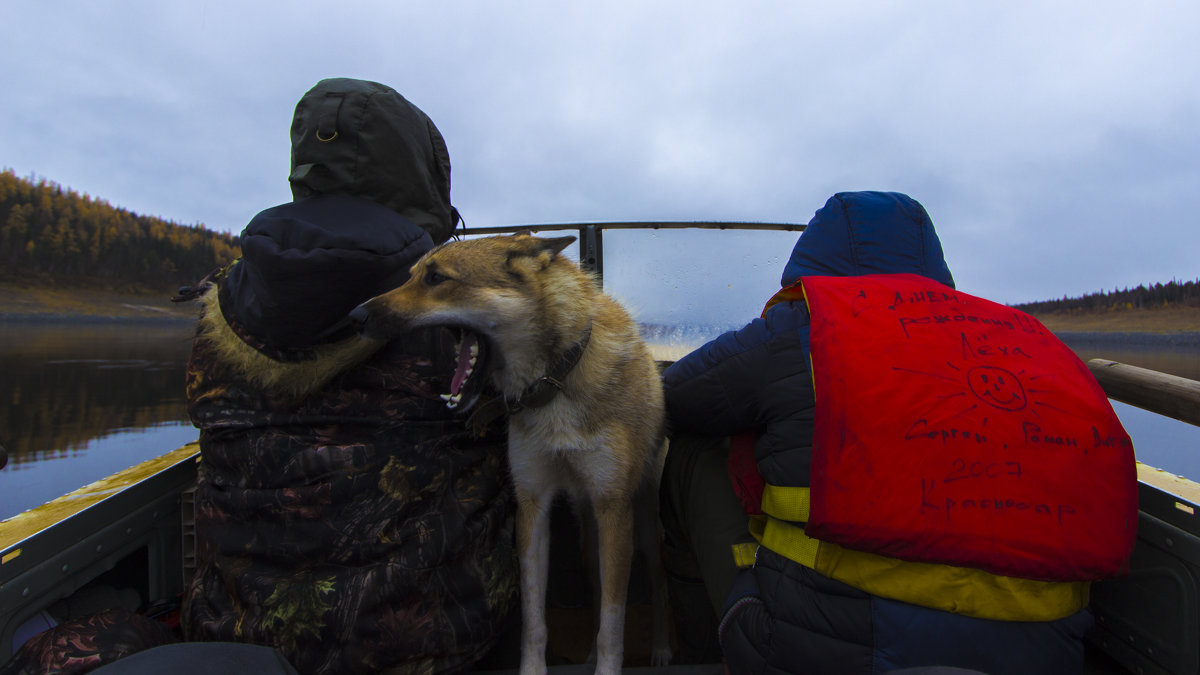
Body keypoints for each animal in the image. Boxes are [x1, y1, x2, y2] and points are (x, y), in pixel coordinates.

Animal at [350, 233, 676, 672]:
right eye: (412, 276)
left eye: (436, 278)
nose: (355, 316)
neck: (556, 377)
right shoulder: (533, 505)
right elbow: (535, 622)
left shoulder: (613, 508)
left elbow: (614, 624)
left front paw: (609, 663)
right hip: (589, 539)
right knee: (595, 588)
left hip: (640, 523)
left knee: (658, 583)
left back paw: (662, 648)